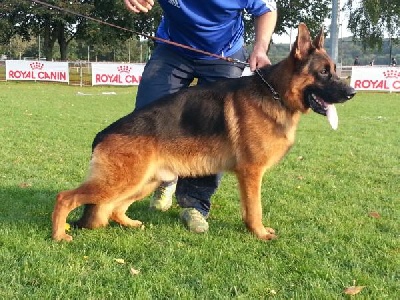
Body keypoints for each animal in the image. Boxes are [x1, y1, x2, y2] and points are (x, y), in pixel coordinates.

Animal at [51, 24, 354, 243]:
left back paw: (129, 223)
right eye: (324, 72)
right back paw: (59, 235)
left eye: (334, 70)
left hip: (143, 181)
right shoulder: (251, 173)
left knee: (113, 208)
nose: (352, 92)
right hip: (122, 181)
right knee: (66, 197)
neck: (275, 93)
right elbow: (255, 209)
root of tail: (102, 135)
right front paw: (259, 233)